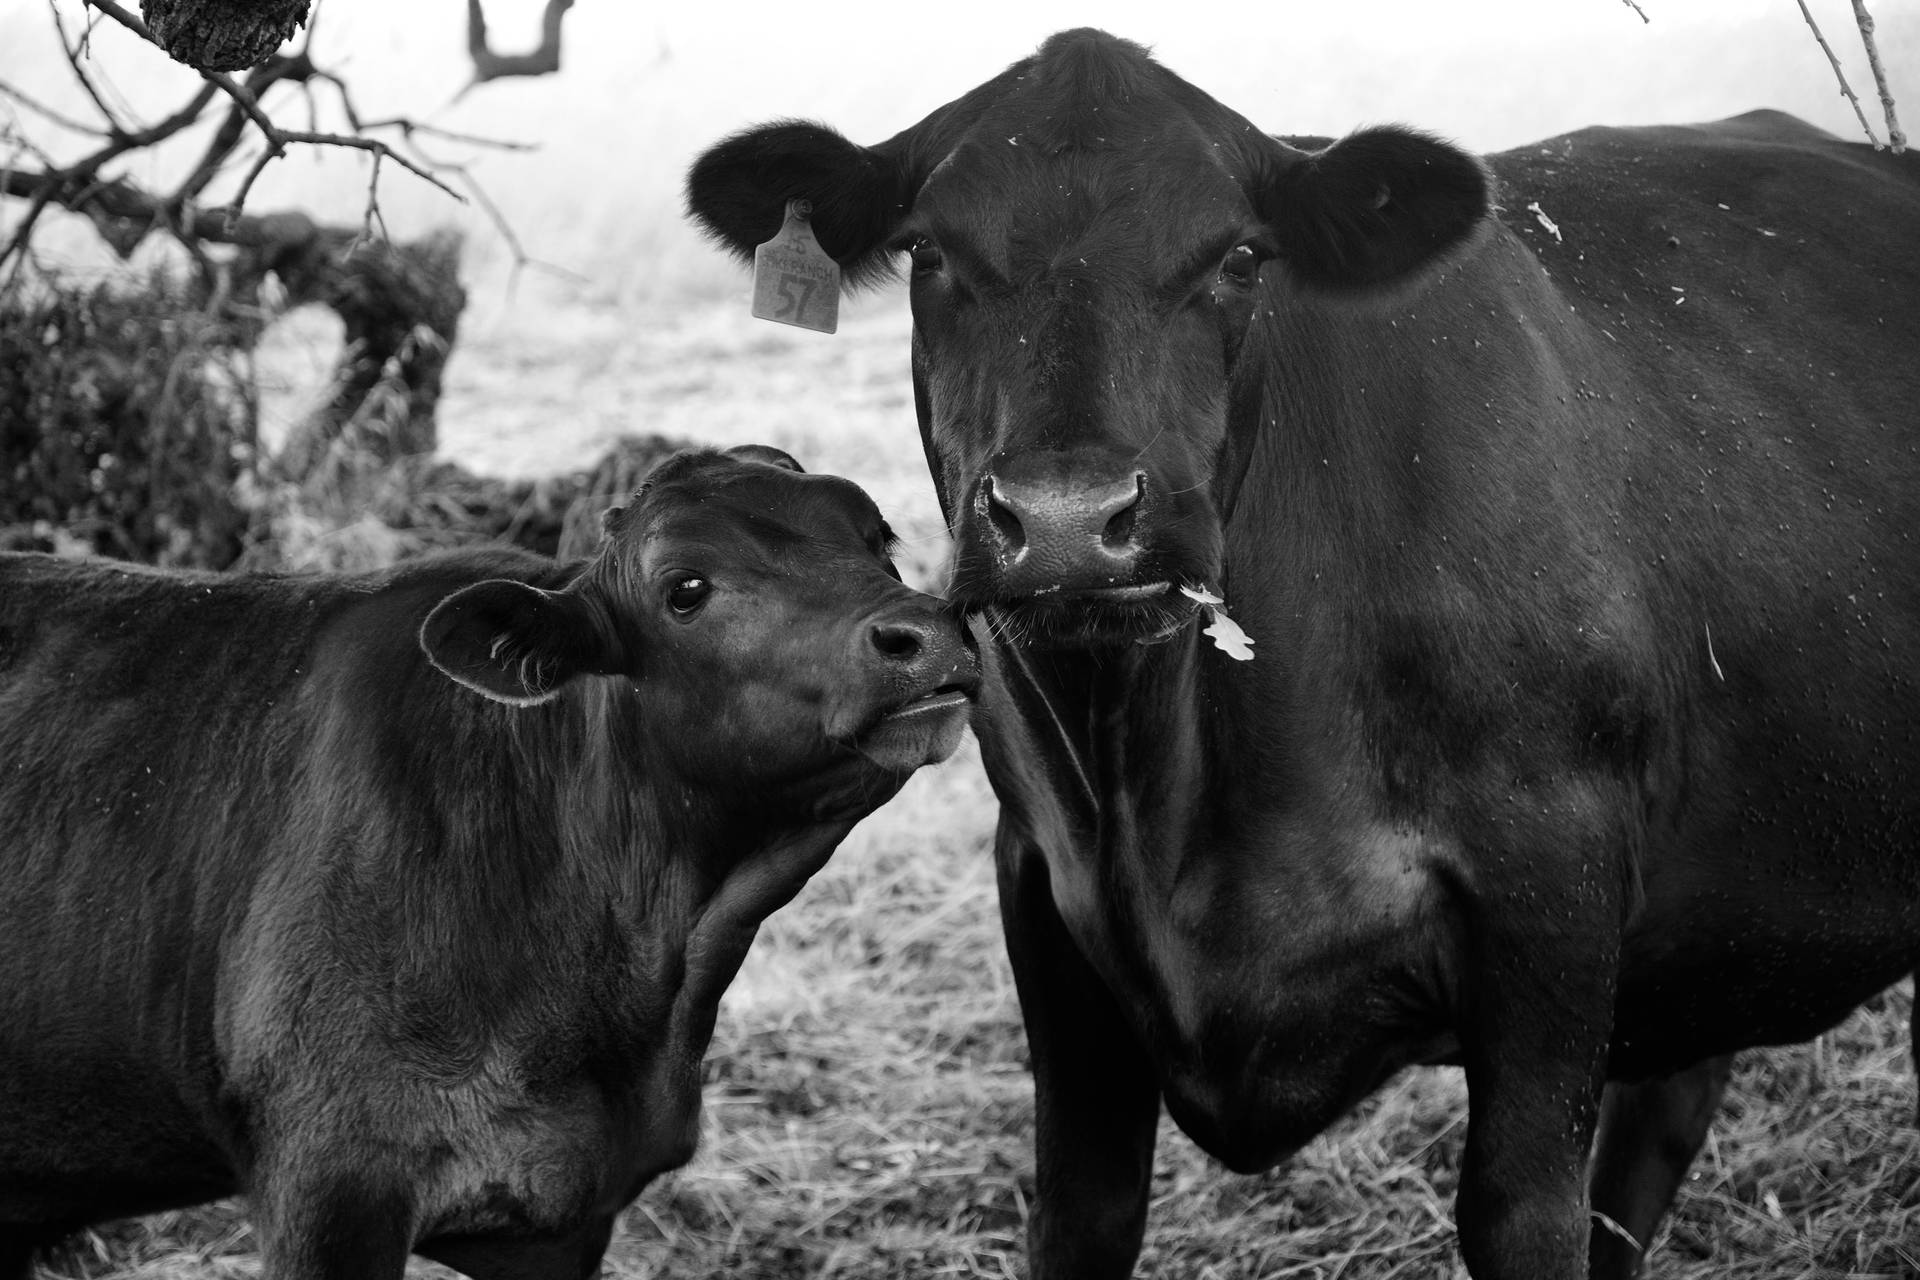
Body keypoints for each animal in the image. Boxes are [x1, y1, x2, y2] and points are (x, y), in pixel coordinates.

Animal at [687, 27, 1920, 1280]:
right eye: (929, 253)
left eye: (1240, 257)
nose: (1071, 519)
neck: (1164, 791)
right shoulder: (1040, 886)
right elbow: (1083, 1206)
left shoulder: (1554, 890)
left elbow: (1524, 1209)